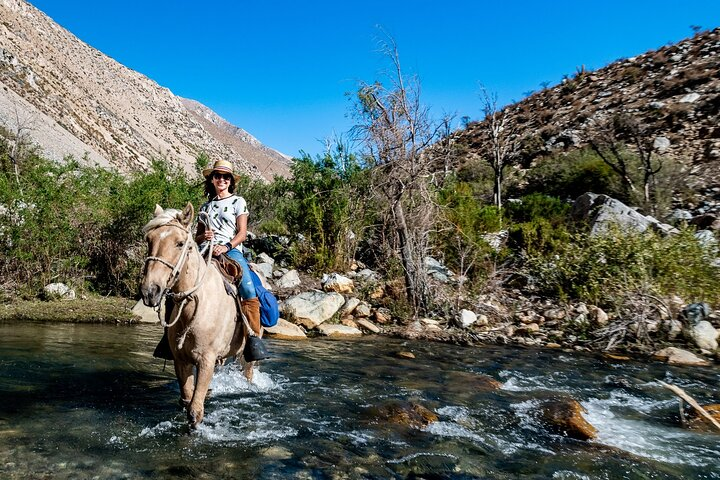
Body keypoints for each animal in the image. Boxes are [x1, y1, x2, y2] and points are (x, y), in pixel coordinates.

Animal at [141, 202, 253, 428]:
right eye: (149, 240)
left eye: (180, 243)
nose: (150, 291)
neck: (194, 304)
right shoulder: (181, 360)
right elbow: (186, 399)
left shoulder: (206, 360)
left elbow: (194, 411)